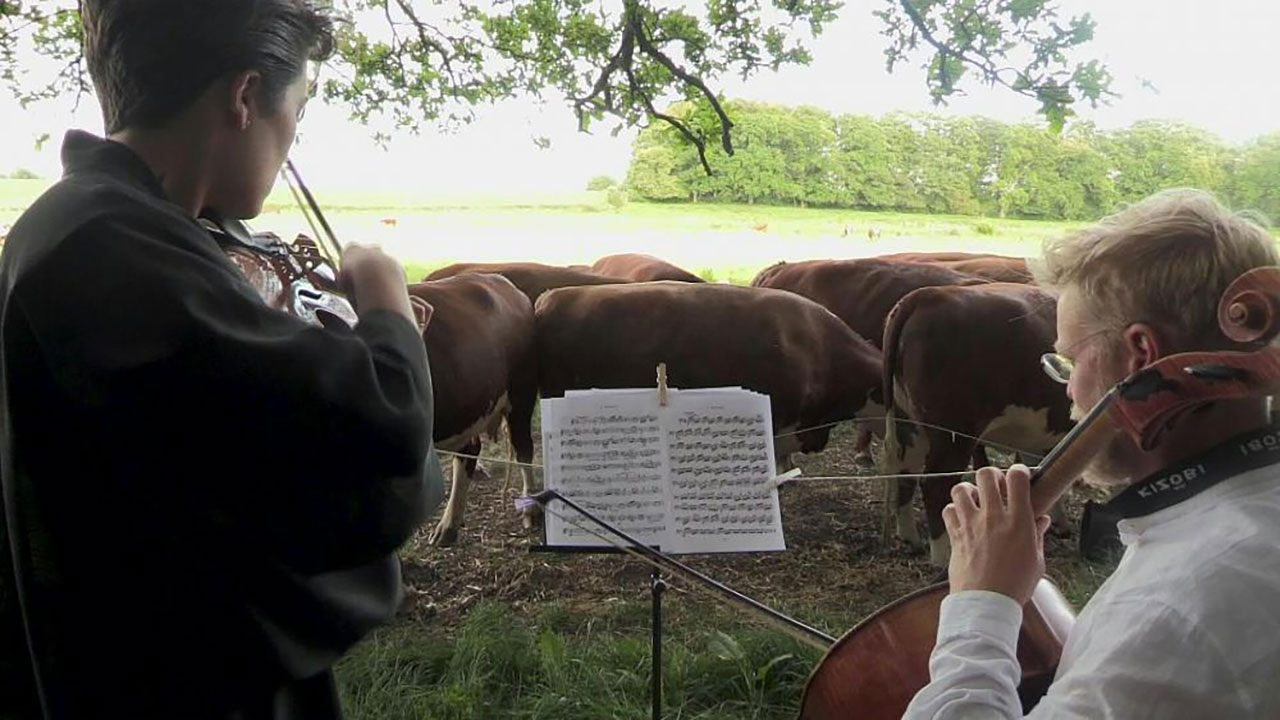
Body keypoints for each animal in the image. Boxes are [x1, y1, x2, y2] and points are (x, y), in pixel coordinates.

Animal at [880, 280, 1070, 566]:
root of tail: (929, 294)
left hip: (908, 421)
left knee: (906, 472)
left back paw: (910, 537)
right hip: (954, 433)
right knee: (935, 485)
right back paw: (944, 559)